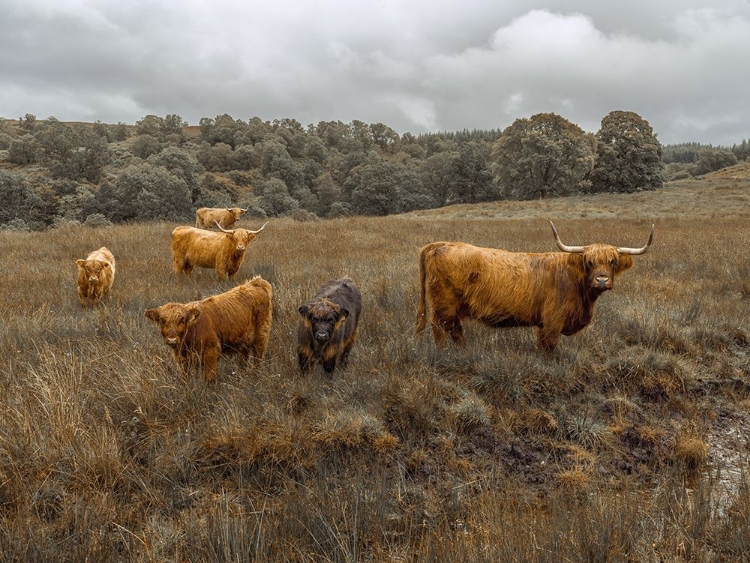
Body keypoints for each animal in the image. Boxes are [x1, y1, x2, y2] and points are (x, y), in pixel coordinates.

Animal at [145, 276, 274, 382]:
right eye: (162, 320)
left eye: (182, 320)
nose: (172, 340)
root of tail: (255, 282)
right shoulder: (183, 360)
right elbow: (186, 378)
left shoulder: (211, 352)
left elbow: (209, 379)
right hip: (244, 341)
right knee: (244, 359)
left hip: (261, 337)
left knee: (257, 359)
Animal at [414, 221, 656, 350]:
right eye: (588, 262)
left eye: (612, 262)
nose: (602, 280)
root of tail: (438, 244)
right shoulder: (553, 321)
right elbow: (549, 346)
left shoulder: (544, 323)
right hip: (444, 304)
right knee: (440, 328)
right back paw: (445, 353)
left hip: (454, 308)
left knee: (455, 330)